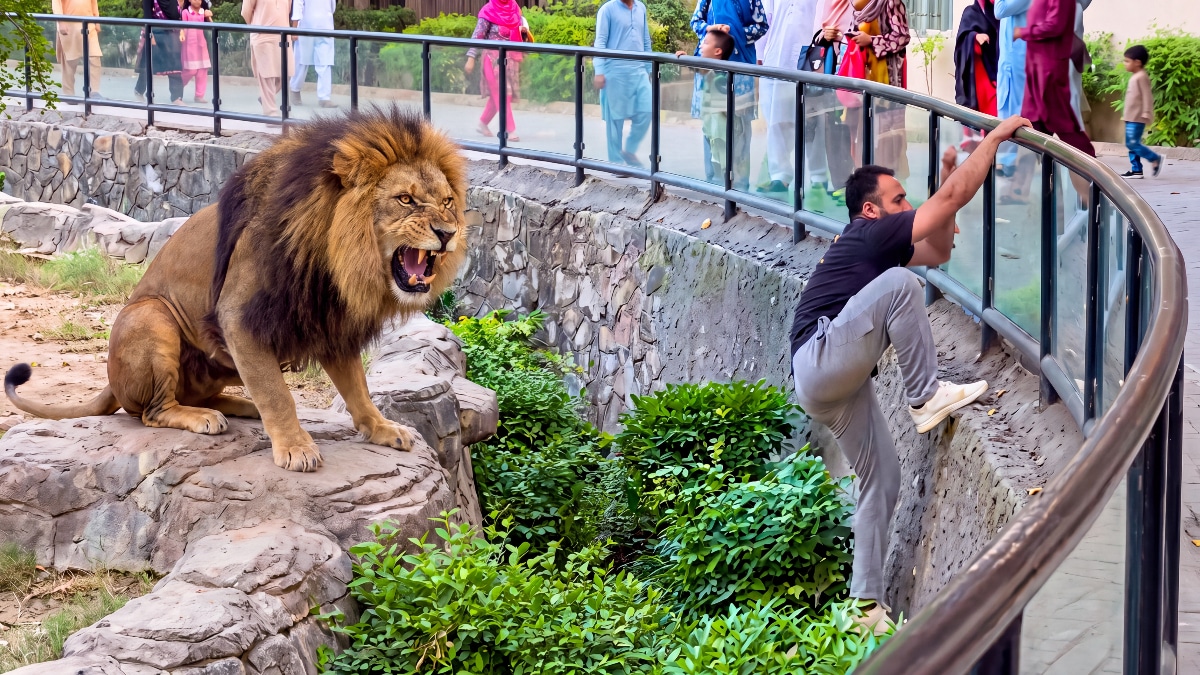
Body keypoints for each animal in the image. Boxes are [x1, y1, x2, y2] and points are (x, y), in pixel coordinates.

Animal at [4, 106, 468, 472]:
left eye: (447, 202)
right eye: (405, 200)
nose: (448, 233)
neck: (336, 262)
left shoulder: (328, 322)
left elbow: (357, 388)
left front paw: (381, 428)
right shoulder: (240, 318)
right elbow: (277, 394)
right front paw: (296, 448)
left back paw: (239, 406)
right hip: (150, 316)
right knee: (153, 411)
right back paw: (202, 417)